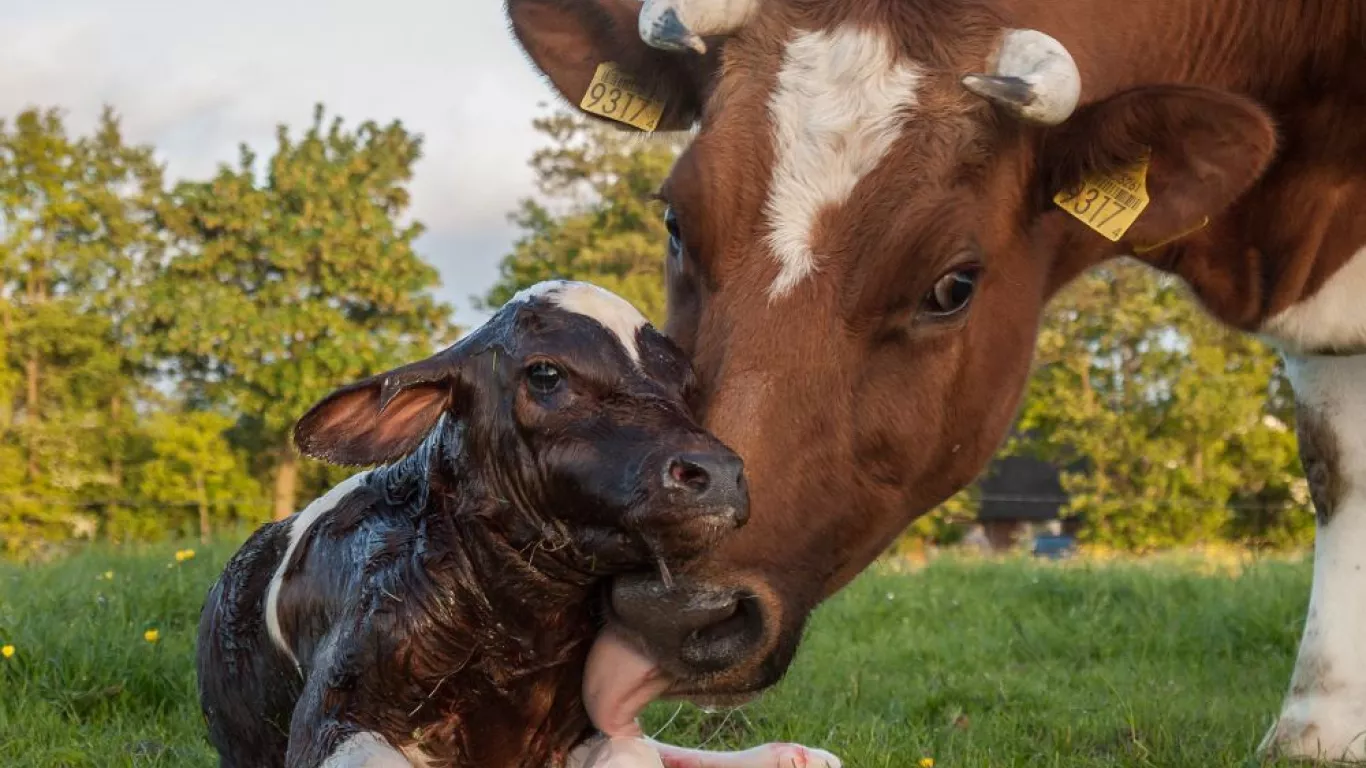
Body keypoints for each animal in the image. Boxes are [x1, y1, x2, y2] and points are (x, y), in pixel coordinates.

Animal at [188, 280, 835, 765]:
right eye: (545, 374)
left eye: (686, 385)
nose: (719, 472)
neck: (522, 626)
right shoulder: (334, 712)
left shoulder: (589, 728)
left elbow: (634, 751)